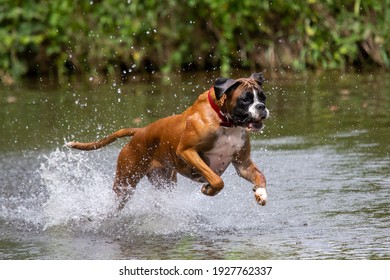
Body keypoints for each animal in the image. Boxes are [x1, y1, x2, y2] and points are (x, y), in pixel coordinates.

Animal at [67, 73, 268, 209]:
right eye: (245, 100)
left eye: (263, 97)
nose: (261, 107)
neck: (225, 121)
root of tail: (139, 131)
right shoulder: (187, 151)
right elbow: (217, 180)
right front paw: (209, 189)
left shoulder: (243, 163)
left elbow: (260, 176)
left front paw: (261, 193)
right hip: (124, 184)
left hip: (164, 182)